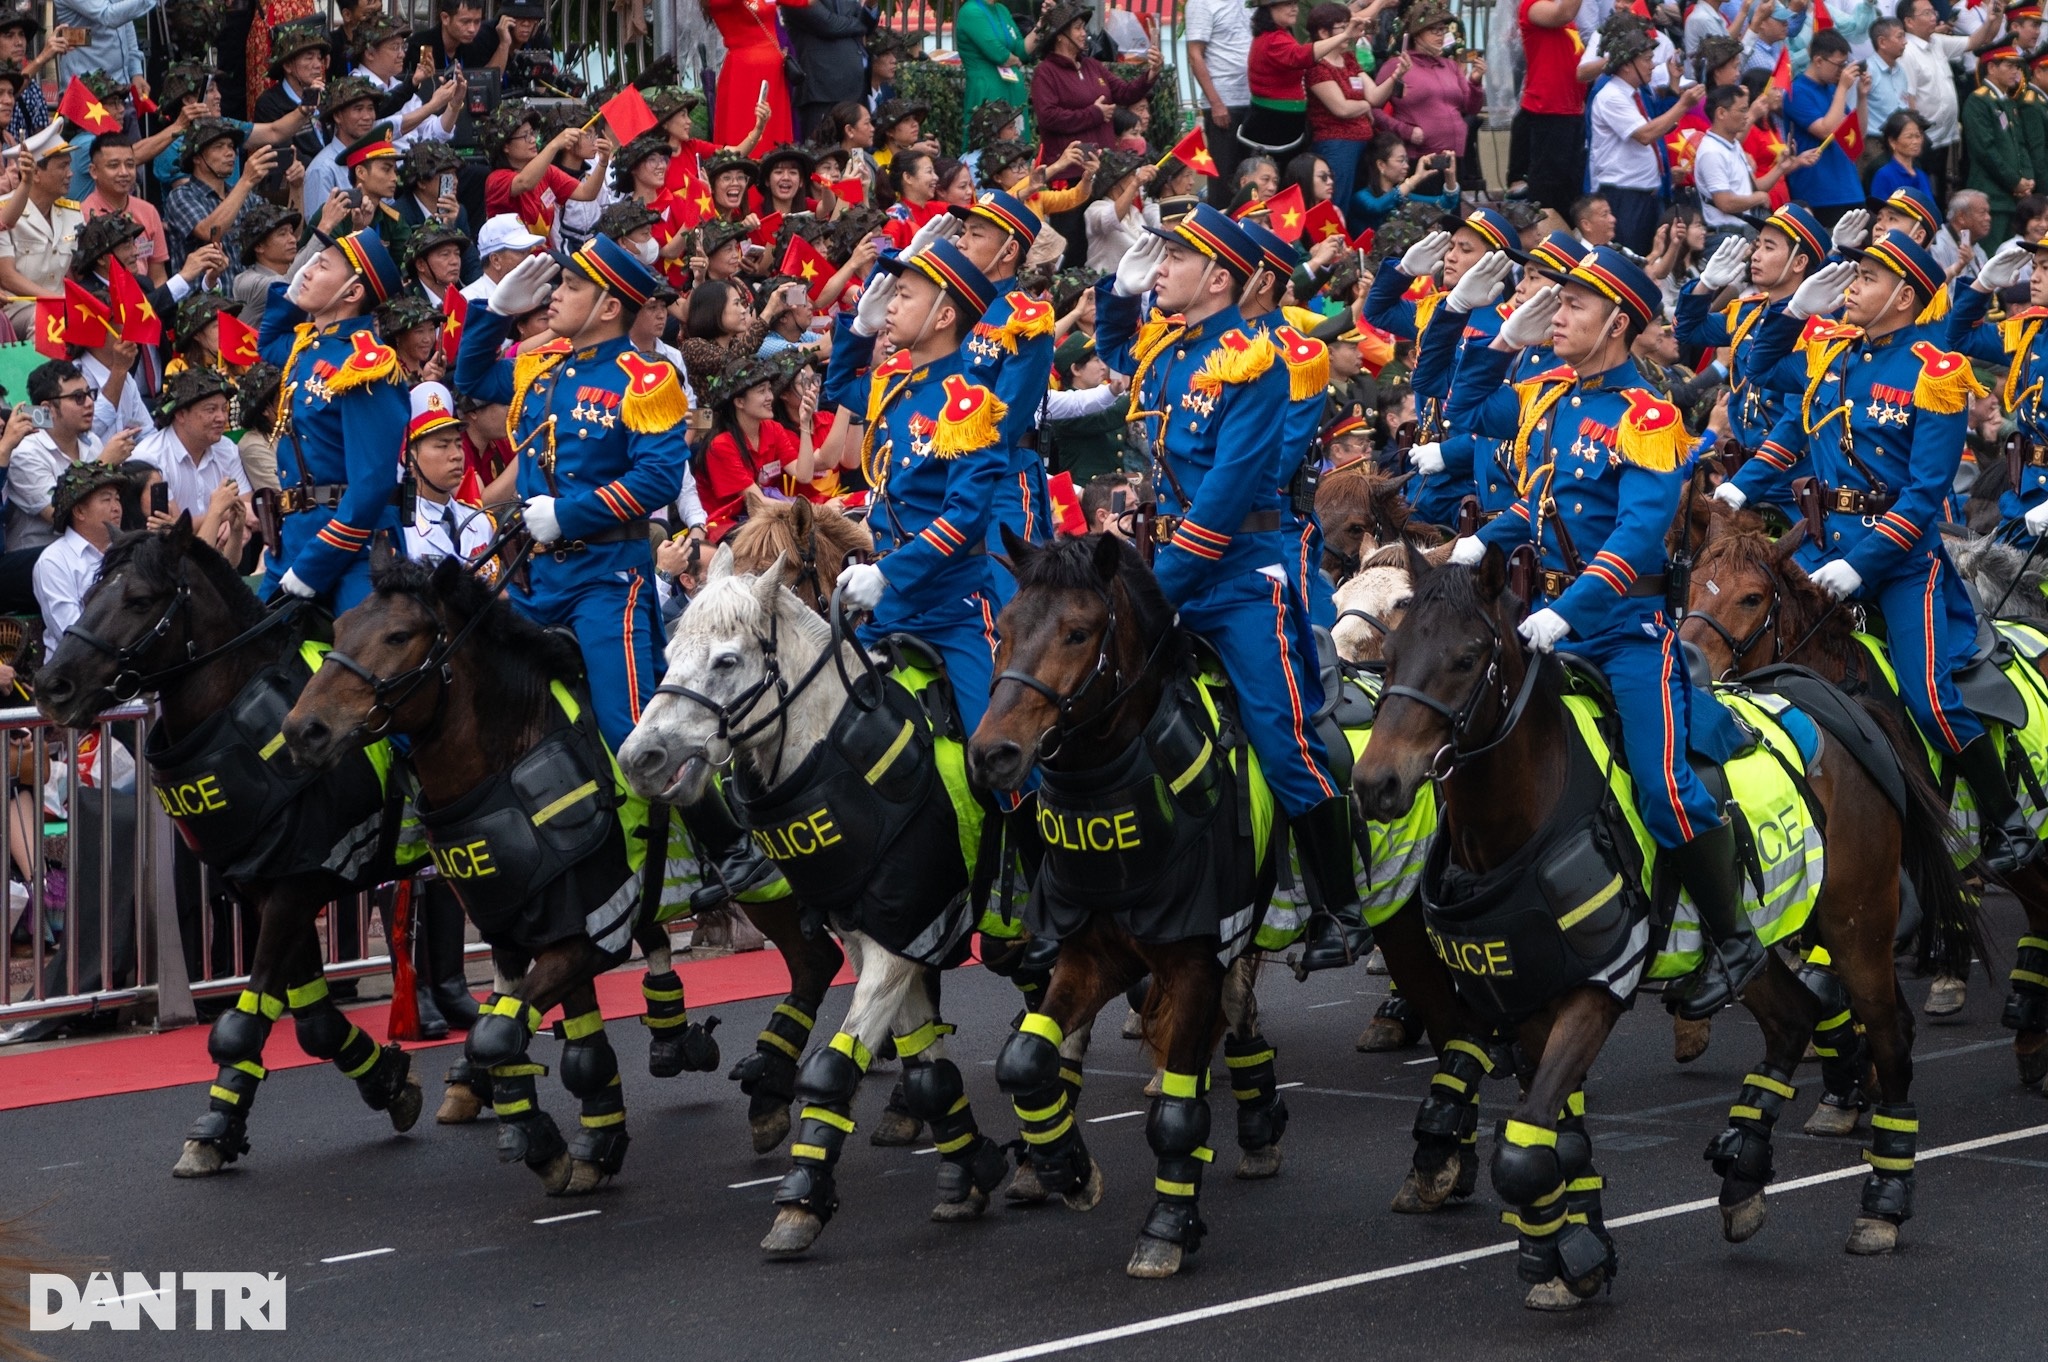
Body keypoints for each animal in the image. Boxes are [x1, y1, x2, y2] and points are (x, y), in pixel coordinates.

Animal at [37, 520, 423, 1179]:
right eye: (87, 595)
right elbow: (313, 1021)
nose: (52, 687)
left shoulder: (298, 885)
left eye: (139, 599)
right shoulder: (262, 888)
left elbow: (244, 1023)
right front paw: (387, 1081)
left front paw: (215, 1128)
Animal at [1351, 544, 1957, 1310]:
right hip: (1760, 943)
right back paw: (1743, 1174)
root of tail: (1834, 699)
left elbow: (1522, 1155)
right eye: (1391, 654)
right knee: (1792, 1016)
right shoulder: (1527, 999)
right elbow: (1557, 1138)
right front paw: (1574, 1251)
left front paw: (1569, 1254)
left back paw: (1883, 1201)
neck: (1525, 816)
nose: (1376, 783)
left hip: (1858, 927)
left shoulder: (1599, 988)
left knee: (1890, 1036)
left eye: (1464, 658)